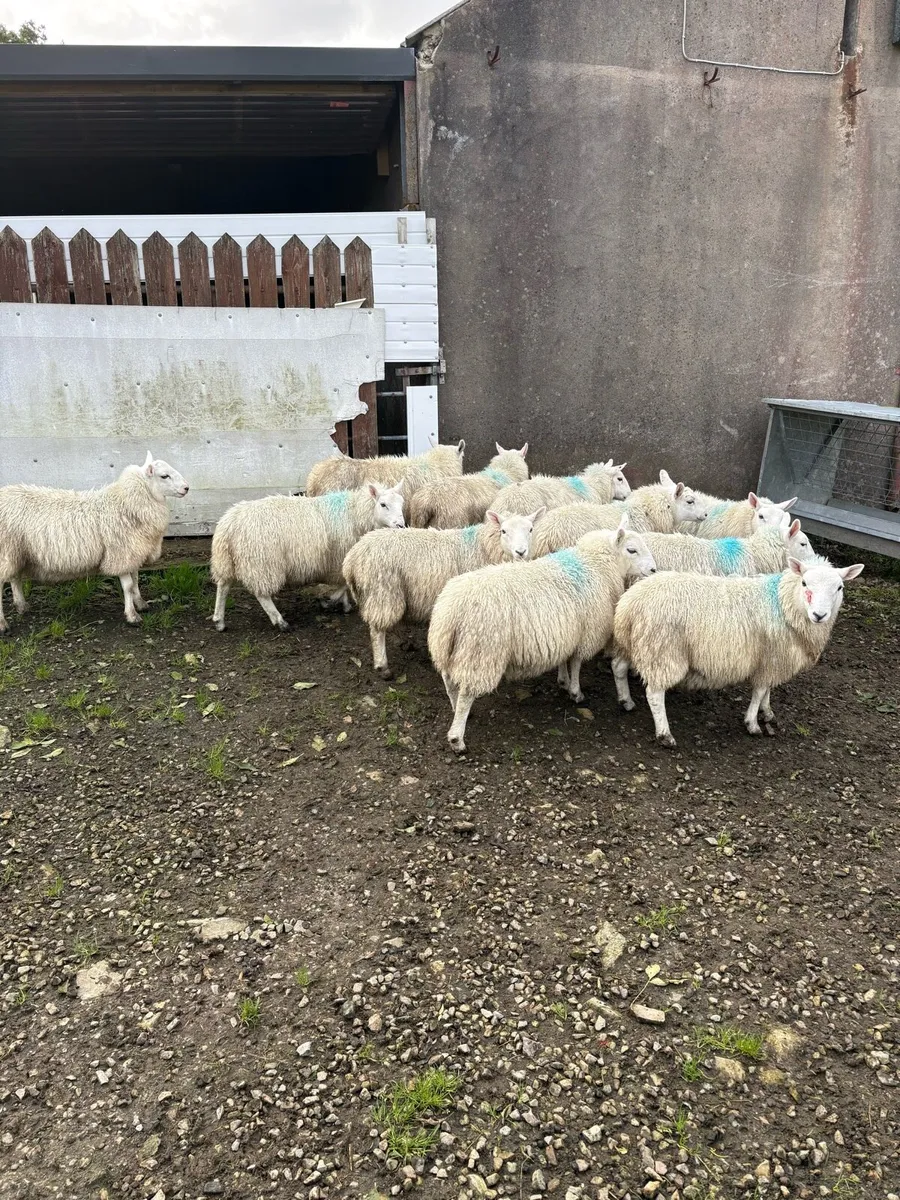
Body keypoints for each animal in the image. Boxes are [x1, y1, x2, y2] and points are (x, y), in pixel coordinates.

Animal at [0, 452, 189, 632]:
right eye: (164, 476)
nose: (186, 488)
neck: (127, 503)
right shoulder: (120, 553)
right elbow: (128, 585)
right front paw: (132, 615)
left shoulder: (133, 552)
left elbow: (135, 580)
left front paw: (141, 604)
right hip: (6, 550)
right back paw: (3, 624)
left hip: (15, 551)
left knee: (15, 577)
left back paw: (21, 606)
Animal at [210, 480, 406, 633]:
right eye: (383, 504)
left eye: (402, 503)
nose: (401, 525)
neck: (355, 514)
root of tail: (229, 523)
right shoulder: (341, 557)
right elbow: (343, 584)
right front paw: (330, 601)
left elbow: (343, 584)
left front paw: (344, 604)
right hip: (262, 562)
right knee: (262, 594)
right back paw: (280, 621)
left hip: (227, 560)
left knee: (223, 586)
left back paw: (219, 620)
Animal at [343, 507, 545, 678]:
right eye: (503, 531)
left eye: (531, 529)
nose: (521, 552)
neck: (484, 547)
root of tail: (352, 557)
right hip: (382, 590)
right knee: (377, 630)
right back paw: (382, 666)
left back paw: (405, 644)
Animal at [428, 521, 656, 753]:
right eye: (631, 550)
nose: (654, 570)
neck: (594, 563)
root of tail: (450, 613)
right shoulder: (585, 632)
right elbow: (576, 663)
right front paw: (576, 692)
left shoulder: (568, 633)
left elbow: (565, 659)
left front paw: (563, 681)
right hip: (481, 653)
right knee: (466, 694)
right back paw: (457, 740)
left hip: (451, 650)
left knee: (449, 683)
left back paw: (456, 709)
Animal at [611, 556, 864, 748]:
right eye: (804, 583)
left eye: (839, 587)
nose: (819, 615)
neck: (783, 604)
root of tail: (630, 604)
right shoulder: (770, 659)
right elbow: (759, 691)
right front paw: (752, 723)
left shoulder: (772, 660)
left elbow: (767, 690)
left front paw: (767, 712)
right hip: (662, 652)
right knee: (654, 693)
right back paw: (665, 734)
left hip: (632, 643)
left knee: (618, 667)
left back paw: (626, 701)